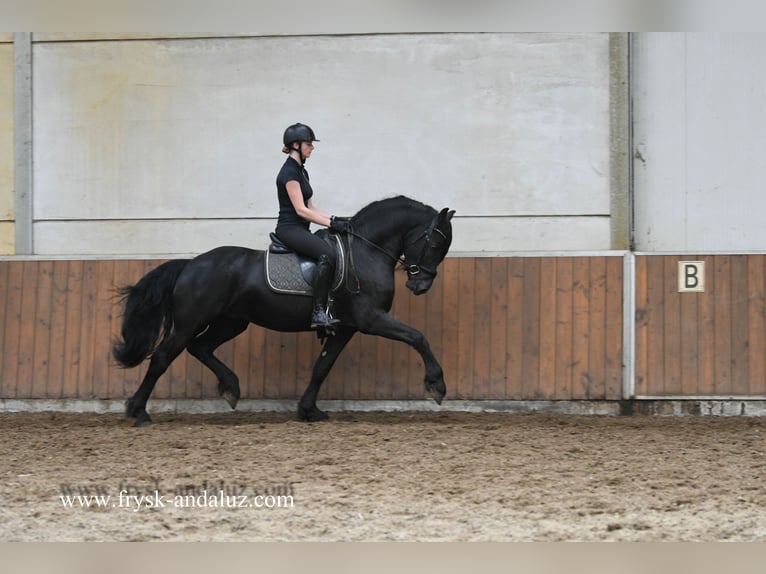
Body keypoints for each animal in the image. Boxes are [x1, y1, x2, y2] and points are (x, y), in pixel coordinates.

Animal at [112, 196, 455, 426]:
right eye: (435, 244)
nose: (421, 285)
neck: (366, 251)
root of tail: (190, 265)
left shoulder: (345, 327)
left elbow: (322, 366)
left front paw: (309, 410)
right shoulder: (371, 319)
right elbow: (417, 337)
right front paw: (437, 385)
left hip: (232, 322)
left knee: (201, 347)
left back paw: (231, 388)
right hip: (190, 322)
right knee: (162, 357)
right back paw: (138, 411)